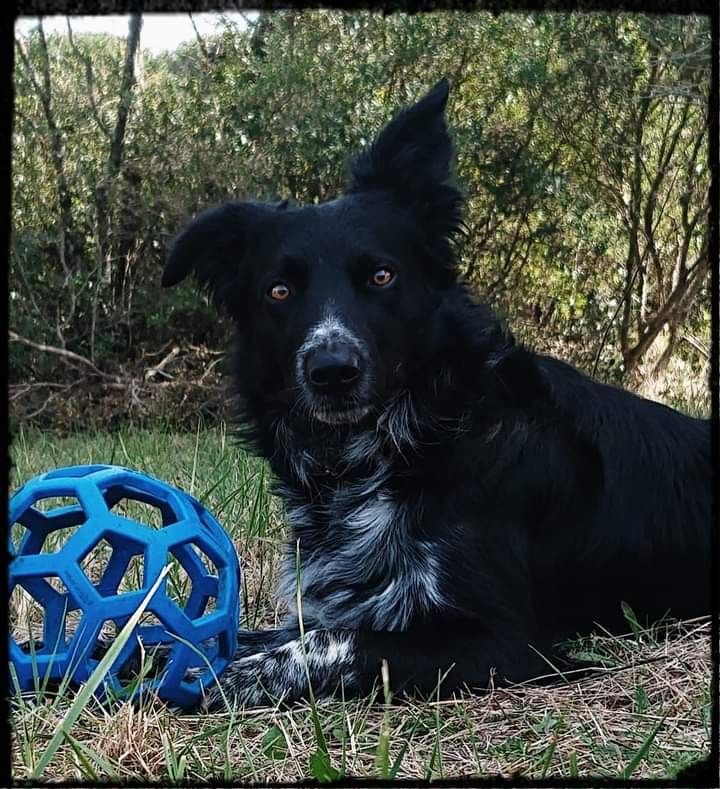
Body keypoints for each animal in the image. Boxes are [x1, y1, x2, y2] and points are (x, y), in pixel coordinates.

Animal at [162, 78, 708, 708]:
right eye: (279, 291)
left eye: (382, 276)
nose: (332, 370)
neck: (405, 438)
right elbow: (237, 634)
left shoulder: (507, 643)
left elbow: (332, 643)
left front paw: (213, 680)